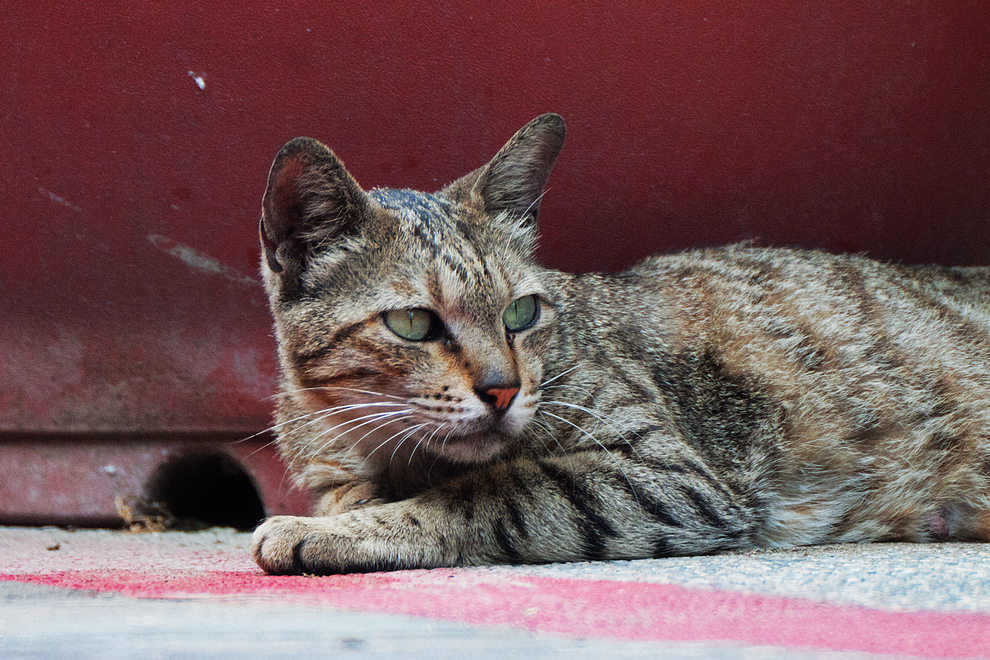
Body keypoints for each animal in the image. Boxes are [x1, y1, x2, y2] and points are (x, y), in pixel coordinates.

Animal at [251, 113, 990, 575]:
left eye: (522, 312)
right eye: (413, 324)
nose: (503, 389)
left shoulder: (668, 477)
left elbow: (486, 495)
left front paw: (326, 533)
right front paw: (347, 508)